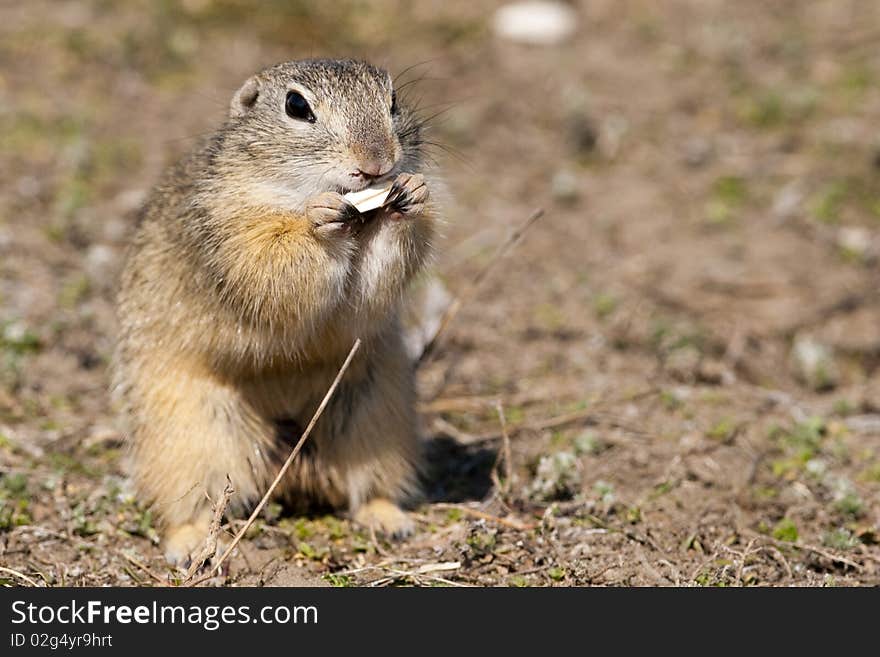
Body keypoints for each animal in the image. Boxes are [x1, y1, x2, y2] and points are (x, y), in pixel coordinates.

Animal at [115, 59, 440, 568]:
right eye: (296, 106)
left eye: (392, 100)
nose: (378, 164)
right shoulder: (231, 230)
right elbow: (273, 261)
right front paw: (320, 219)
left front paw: (412, 194)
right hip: (188, 437)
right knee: (186, 503)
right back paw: (190, 546)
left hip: (376, 417)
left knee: (367, 487)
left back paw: (390, 520)